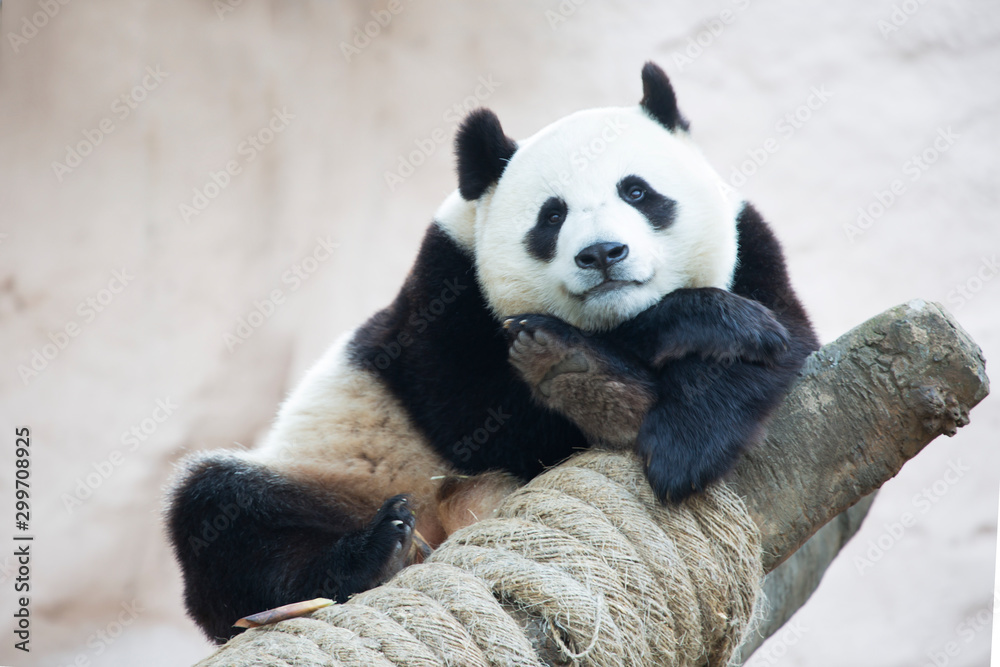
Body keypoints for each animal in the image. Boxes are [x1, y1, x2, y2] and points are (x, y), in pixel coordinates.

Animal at [165, 62, 819, 642]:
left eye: (637, 191)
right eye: (551, 216)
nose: (602, 254)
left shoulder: (749, 243)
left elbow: (777, 348)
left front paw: (685, 440)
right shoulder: (444, 285)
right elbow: (481, 416)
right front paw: (663, 333)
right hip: (329, 475)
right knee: (220, 516)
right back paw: (370, 553)